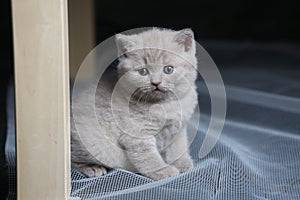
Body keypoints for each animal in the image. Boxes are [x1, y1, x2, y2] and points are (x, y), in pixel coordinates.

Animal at [70, 27, 197, 180]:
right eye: (143, 71)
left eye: (168, 69)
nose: (156, 83)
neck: (166, 105)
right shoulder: (137, 134)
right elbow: (149, 157)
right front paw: (164, 171)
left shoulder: (179, 128)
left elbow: (178, 146)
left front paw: (182, 162)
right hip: (94, 144)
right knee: (72, 159)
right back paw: (92, 167)